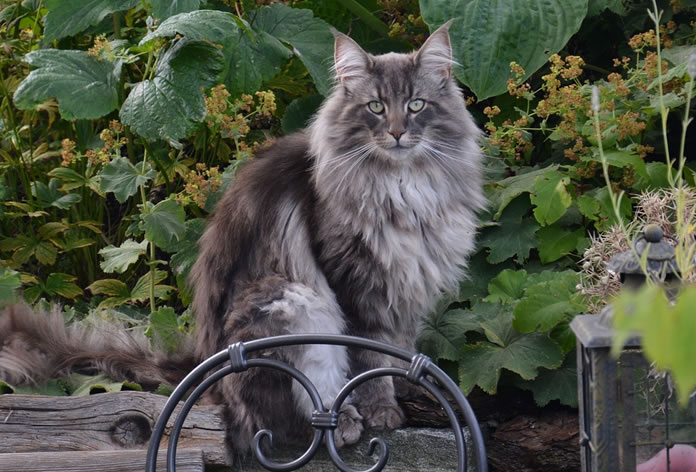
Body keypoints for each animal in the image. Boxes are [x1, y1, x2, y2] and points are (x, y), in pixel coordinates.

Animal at [0, 23, 484, 454]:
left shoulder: (406, 286)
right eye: (377, 108)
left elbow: (398, 352)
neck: (404, 187)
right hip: (294, 302)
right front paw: (382, 410)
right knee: (287, 418)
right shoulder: (355, 284)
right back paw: (342, 423)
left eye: (416, 104)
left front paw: (410, 395)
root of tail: (202, 365)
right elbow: (370, 362)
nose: (399, 132)